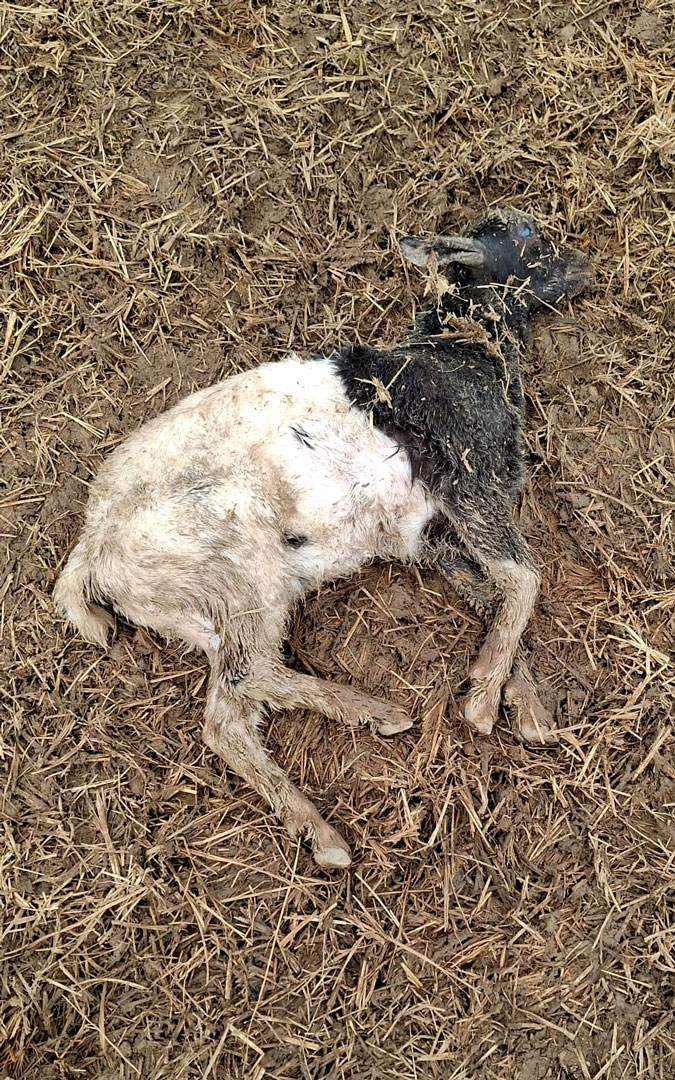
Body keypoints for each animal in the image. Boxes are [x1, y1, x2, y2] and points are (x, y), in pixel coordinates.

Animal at [54, 209, 592, 869]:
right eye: (526, 237)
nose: (586, 266)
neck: (461, 351)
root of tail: (93, 550)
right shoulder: (474, 485)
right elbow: (523, 582)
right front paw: (485, 706)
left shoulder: (433, 533)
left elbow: (493, 596)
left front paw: (529, 708)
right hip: (241, 572)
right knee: (240, 689)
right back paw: (362, 746)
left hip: (205, 610)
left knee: (235, 708)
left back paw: (333, 804)